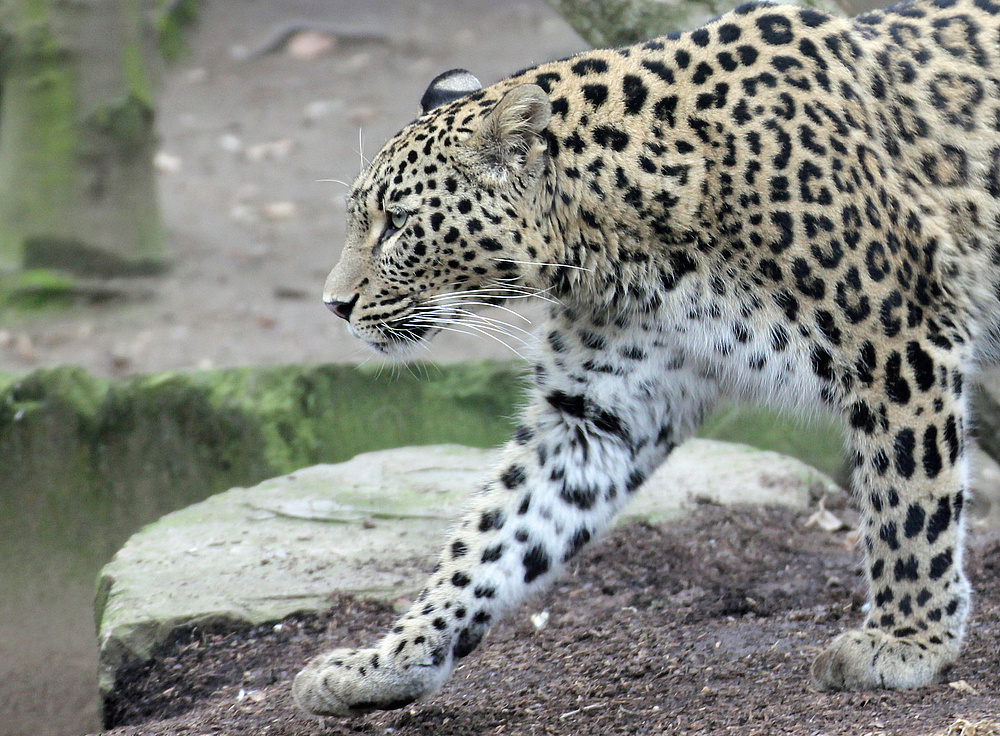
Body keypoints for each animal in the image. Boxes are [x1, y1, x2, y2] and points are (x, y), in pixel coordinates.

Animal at [292, 0, 1000, 716]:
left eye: (398, 224)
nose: (333, 305)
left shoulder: (898, 345)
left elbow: (908, 501)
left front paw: (906, 642)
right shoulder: (597, 412)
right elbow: (493, 537)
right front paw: (387, 662)